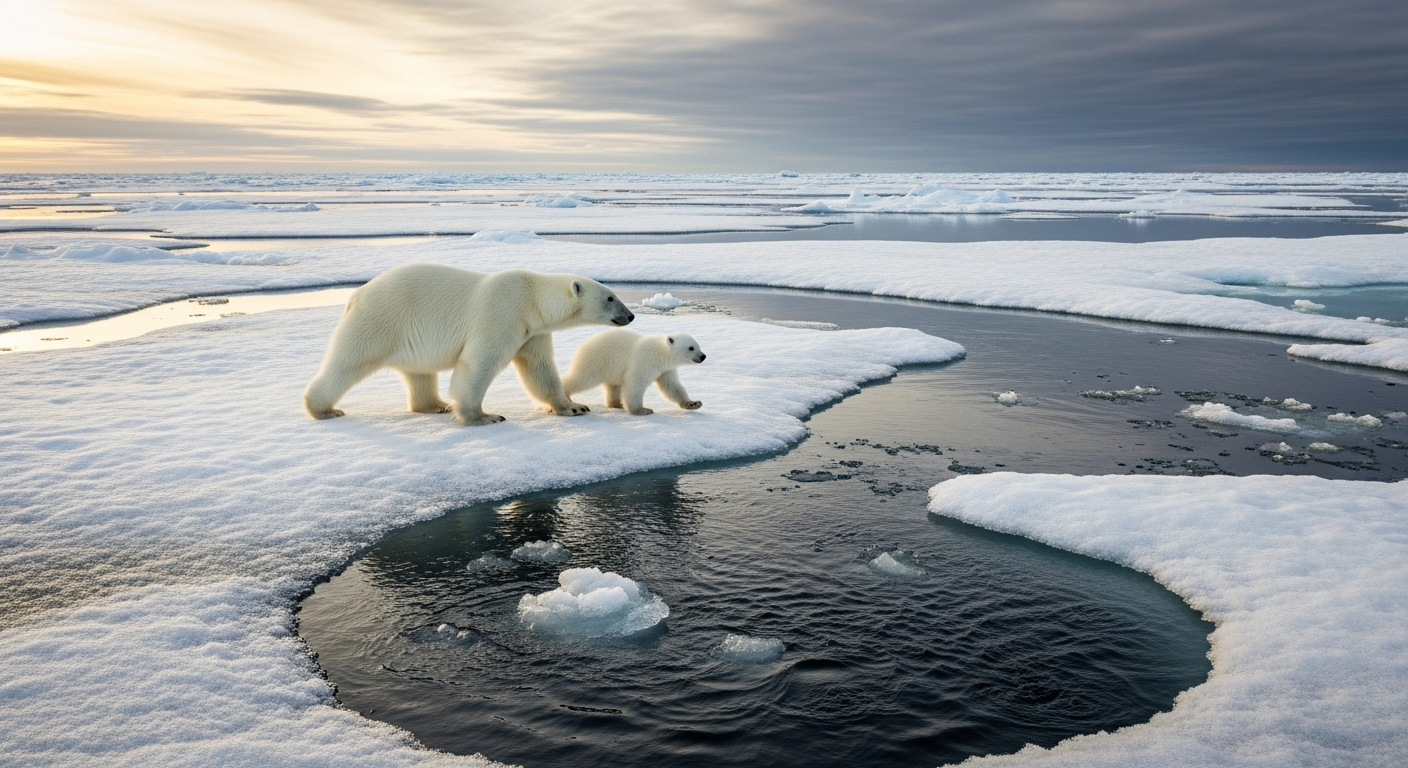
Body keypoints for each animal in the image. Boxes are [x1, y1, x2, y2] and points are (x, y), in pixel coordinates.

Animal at [303, 263, 634, 425]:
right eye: (610, 297)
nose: (630, 315)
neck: (531, 298)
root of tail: (356, 295)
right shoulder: (502, 312)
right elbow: (479, 364)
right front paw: (484, 416)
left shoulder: (532, 331)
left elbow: (539, 369)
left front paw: (574, 406)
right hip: (382, 318)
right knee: (349, 361)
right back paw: (324, 409)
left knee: (419, 372)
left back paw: (435, 405)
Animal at [561, 329, 706, 415]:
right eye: (691, 348)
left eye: (698, 345)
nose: (703, 356)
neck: (660, 353)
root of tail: (581, 346)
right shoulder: (644, 360)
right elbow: (636, 382)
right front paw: (642, 410)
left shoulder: (666, 369)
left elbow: (671, 386)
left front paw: (693, 403)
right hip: (596, 361)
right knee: (582, 378)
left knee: (613, 386)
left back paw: (617, 404)